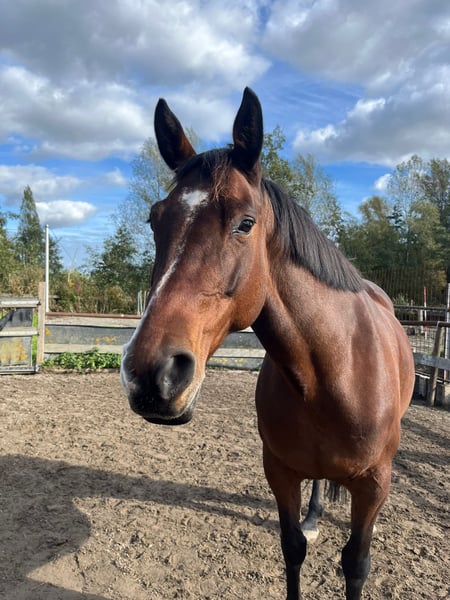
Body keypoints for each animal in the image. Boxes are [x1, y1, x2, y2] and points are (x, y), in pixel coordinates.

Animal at [121, 88, 415, 600]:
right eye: (155, 220)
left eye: (245, 223)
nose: (151, 375)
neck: (334, 370)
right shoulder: (279, 472)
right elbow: (292, 549)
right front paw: (305, 529)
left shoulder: (375, 482)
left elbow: (356, 565)